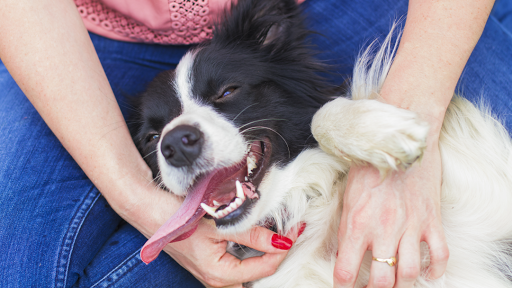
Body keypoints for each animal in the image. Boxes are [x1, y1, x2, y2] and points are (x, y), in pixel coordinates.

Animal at [129, 1, 512, 286]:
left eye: (227, 91)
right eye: (152, 138)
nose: (175, 145)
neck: (305, 202)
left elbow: (320, 116)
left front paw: (386, 133)